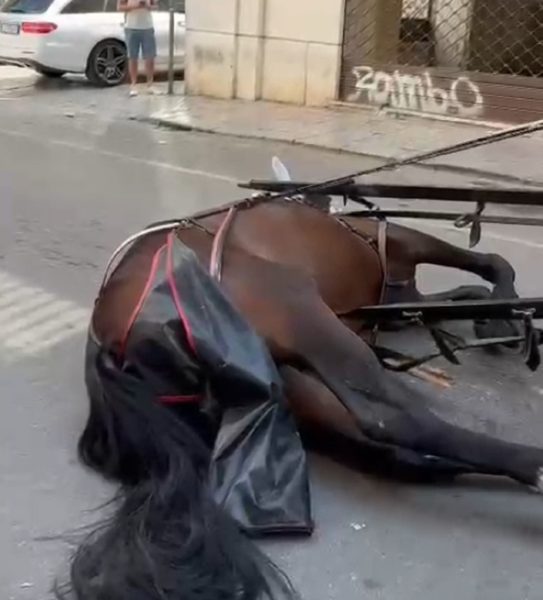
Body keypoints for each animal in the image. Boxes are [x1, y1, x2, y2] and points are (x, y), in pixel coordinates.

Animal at [63, 159, 543, 600]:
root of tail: (113, 333)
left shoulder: (400, 301)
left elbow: (461, 294)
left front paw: (495, 319)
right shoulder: (401, 243)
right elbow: (490, 262)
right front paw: (504, 308)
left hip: (296, 378)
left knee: (391, 448)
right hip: (300, 310)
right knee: (389, 418)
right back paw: (533, 464)